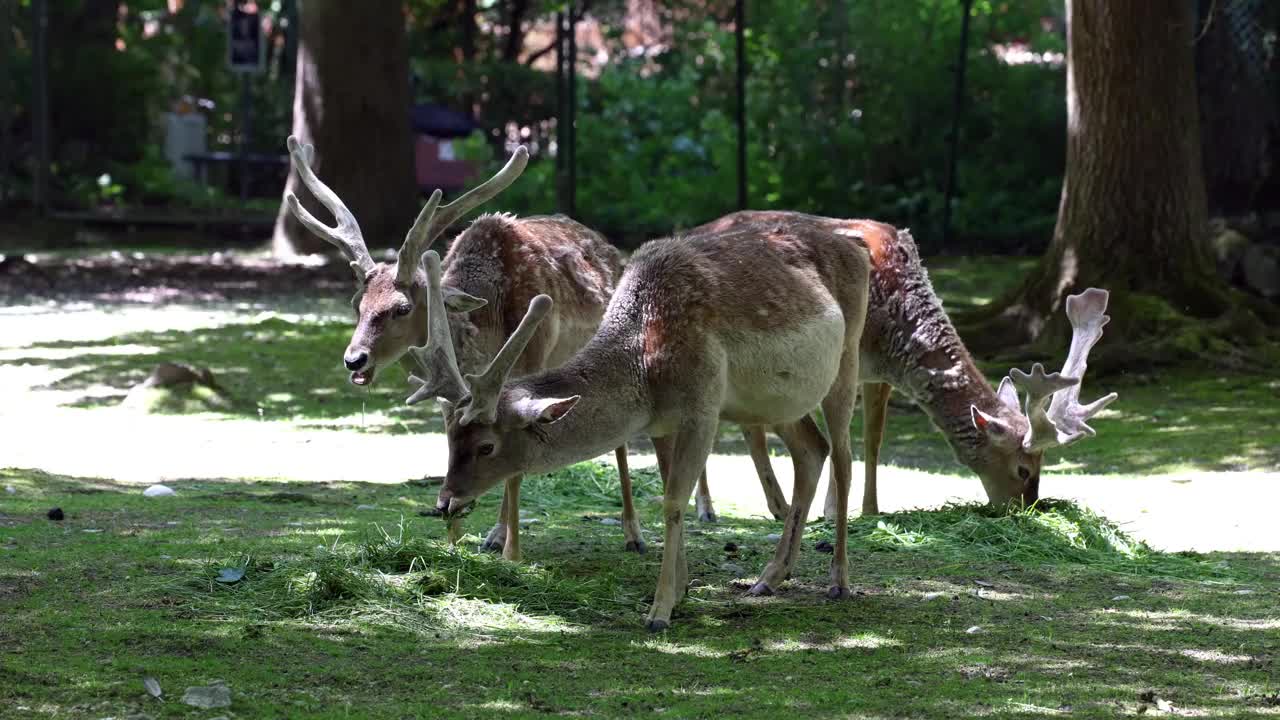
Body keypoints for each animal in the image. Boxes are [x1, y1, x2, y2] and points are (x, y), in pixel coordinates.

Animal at [280, 137, 640, 558]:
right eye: (358, 303)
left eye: (402, 308)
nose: (355, 359)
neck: (485, 336)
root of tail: (607, 244)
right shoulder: (447, 392)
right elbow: (454, 446)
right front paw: (453, 536)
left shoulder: (528, 366)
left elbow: (513, 464)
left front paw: (506, 546)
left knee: (622, 438)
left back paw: (635, 532)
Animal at [404, 208, 875, 627]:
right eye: (450, 439)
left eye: (487, 445)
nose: (445, 502)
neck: (646, 366)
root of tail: (857, 248)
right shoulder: (663, 422)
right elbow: (670, 491)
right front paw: (682, 590)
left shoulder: (703, 405)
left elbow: (673, 500)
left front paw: (659, 610)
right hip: (778, 402)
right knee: (811, 450)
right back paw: (770, 577)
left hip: (848, 358)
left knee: (843, 457)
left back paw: (839, 580)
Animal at [691, 210, 1121, 517]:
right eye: (1023, 470)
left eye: (1042, 467)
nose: (1024, 509)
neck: (892, 330)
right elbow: (844, 436)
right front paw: (834, 511)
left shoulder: (878, 372)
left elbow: (873, 438)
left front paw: (867, 509)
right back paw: (710, 508)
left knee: (748, 423)